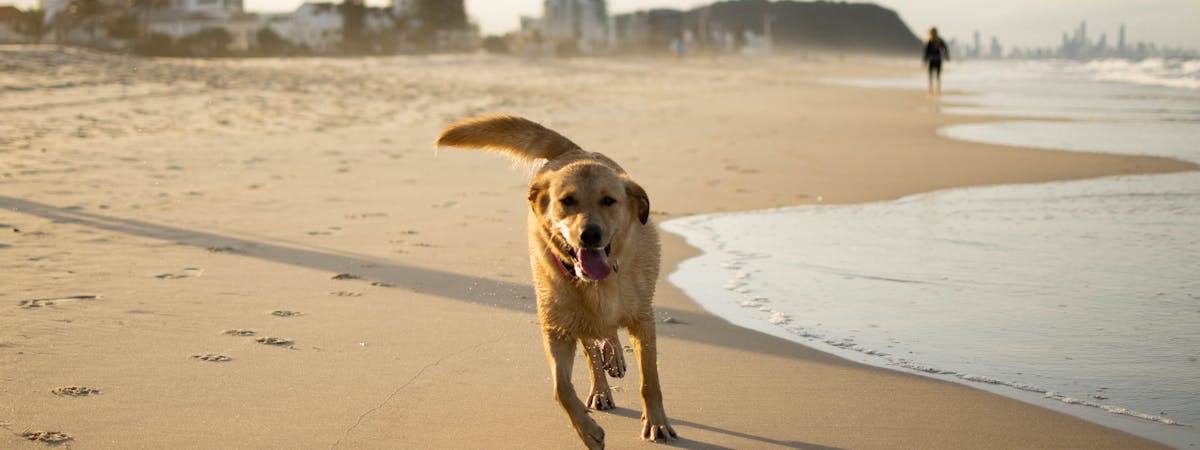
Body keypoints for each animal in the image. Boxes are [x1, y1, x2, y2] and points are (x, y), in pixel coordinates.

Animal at [436, 115, 676, 448]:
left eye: (609, 201)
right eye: (567, 201)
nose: (590, 234)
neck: (595, 285)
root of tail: (573, 151)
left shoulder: (643, 320)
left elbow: (649, 379)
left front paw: (657, 423)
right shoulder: (557, 330)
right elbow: (561, 388)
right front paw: (588, 431)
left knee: (607, 336)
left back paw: (614, 358)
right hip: (572, 317)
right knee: (591, 347)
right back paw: (601, 386)